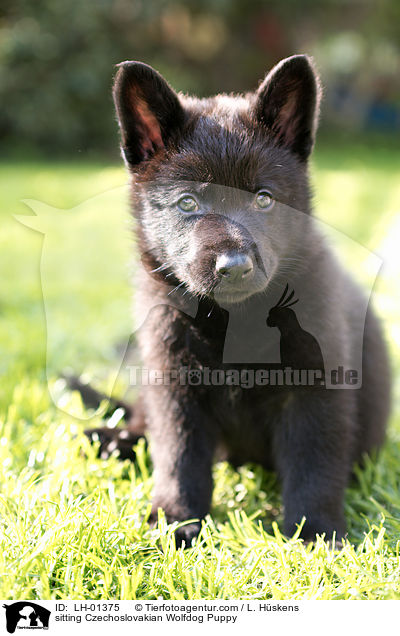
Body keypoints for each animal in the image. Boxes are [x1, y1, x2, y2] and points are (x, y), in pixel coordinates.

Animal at [89, 56, 390, 548]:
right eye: (187, 203)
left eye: (264, 199)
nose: (233, 266)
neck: (232, 319)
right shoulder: (173, 384)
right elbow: (178, 456)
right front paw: (174, 521)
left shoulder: (315, 388)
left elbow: (313, 463)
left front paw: (315, 531)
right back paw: (114, 440)